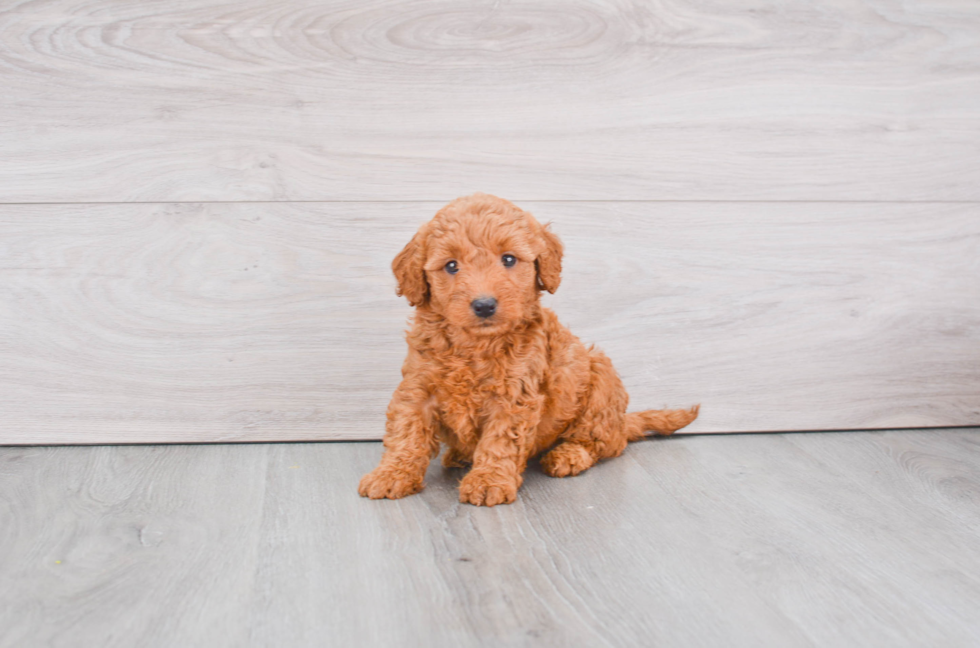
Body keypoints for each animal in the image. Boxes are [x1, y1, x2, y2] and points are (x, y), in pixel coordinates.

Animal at [360, 192, 696, 506]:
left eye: (508, 259)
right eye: (451, 266)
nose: (484, 305)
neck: (474, 346)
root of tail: (621, 423)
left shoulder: (514, 396)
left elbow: (500, 440)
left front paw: (488, 481)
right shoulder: (418, 388)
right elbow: (406, 434)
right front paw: (391, 474)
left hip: (601, 381)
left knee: (601, 443)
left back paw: (569, 455)